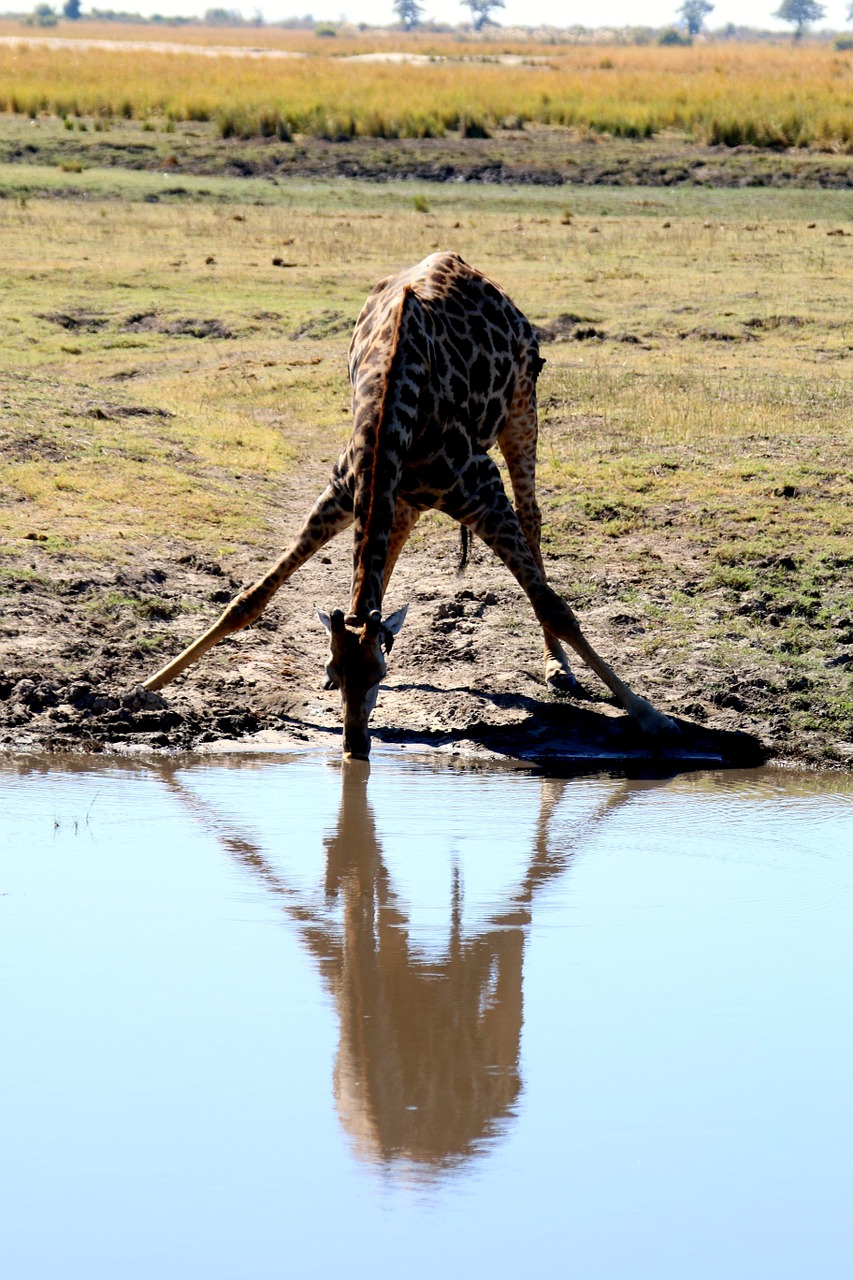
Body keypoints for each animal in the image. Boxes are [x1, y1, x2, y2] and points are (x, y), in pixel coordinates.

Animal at [142, 250, 676, 757]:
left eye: (377, 676)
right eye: (333, 672)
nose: (355, 745)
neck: (391, 405)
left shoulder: (482, 491)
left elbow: (553, 606)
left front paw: (651, 717)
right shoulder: (342, 493)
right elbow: (248, 600)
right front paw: (144, 688)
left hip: (522, 406)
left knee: (532, 518)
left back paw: (557, 668)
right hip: (406, 493)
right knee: (396, 539)